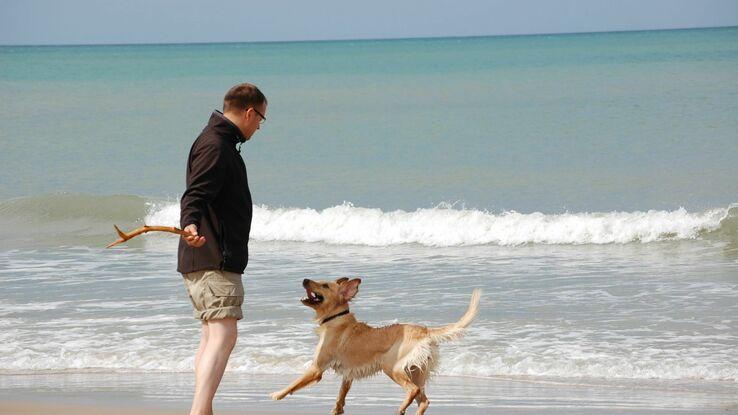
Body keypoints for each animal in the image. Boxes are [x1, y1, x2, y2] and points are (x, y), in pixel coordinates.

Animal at [268, 276, 480, 415]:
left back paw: (400, 409)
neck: (336, 319)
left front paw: (277, 394)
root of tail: (424, 330)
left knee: (413, 391)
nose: (304, 279)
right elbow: (340, 395)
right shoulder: (348, 374)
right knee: (424, 399)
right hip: (417, 371)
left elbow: (294, 383)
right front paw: (337, 410)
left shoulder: (316, 368)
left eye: (324, 285)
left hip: (392, 366)